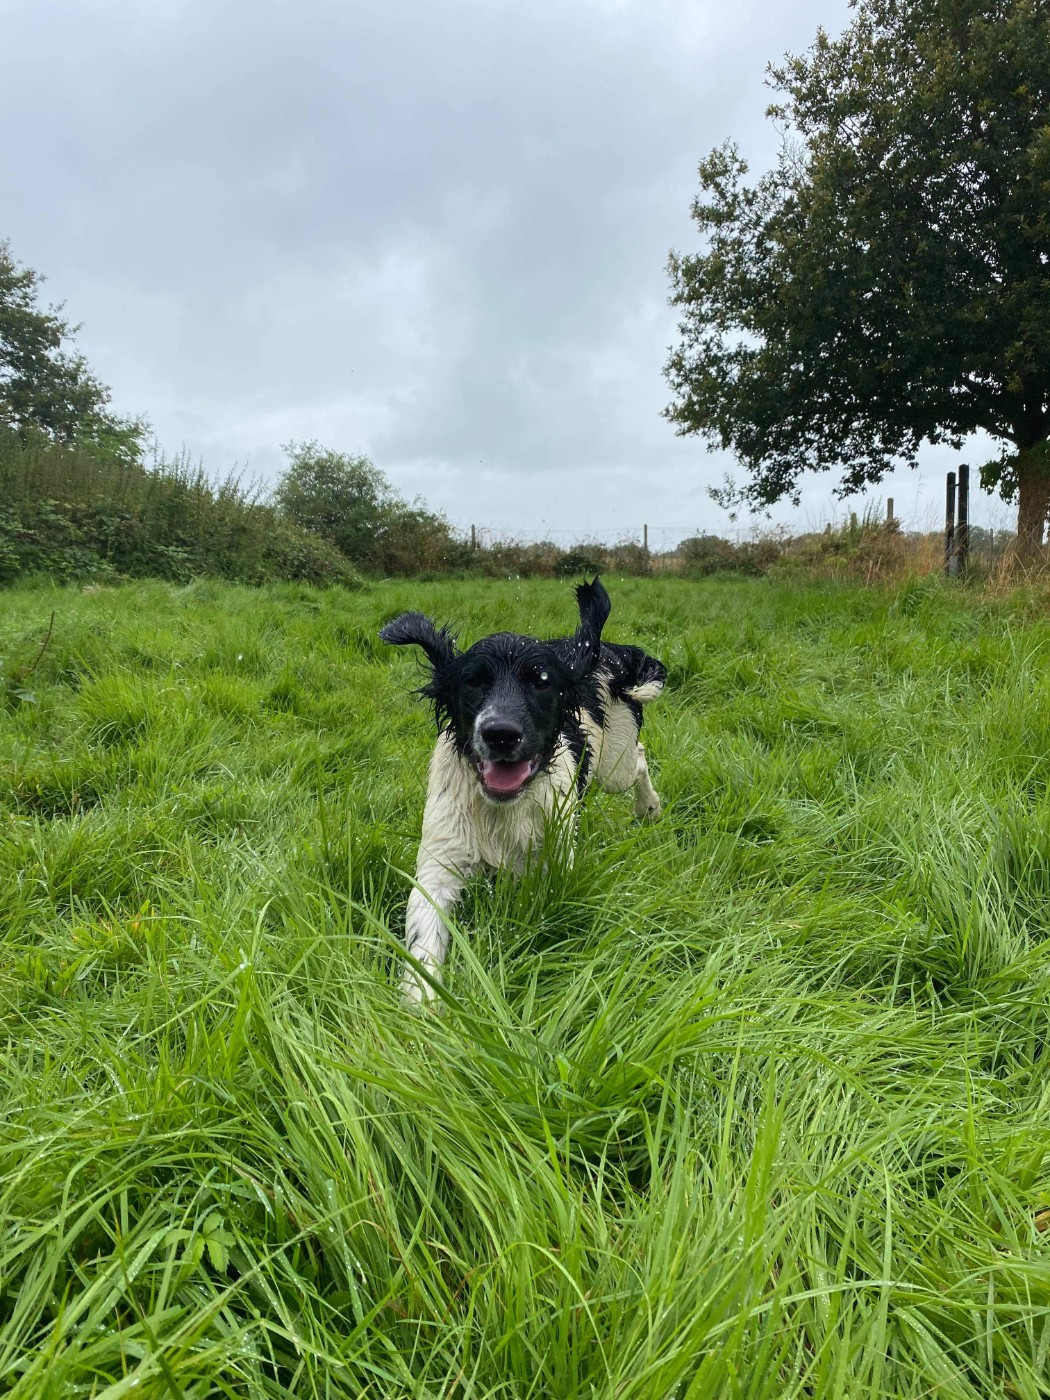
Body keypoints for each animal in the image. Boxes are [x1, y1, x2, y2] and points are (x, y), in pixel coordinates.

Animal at [380, 578, 666, 1003]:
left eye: (541, 682)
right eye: (473, 681)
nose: (500, 733)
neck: (501, 809)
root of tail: (603, 650)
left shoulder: (551, 862)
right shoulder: (439, 864)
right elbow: (423, 936)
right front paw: (421, 1004)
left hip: (614, 766)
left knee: (641, 759)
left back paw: (648, 808)